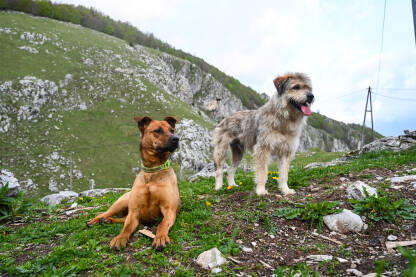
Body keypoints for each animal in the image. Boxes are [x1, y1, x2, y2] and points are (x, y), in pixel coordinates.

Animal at [87, 115, 180, 249]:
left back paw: (109, 220)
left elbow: (162, 224)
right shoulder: (134, 211)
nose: (176, 138)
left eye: (172, 130)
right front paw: (120, 238)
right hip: (120, 203)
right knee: (108, 213)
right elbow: (126, 228)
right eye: (158, 130)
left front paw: (160, 237)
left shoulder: (169, 210)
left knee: (122, 218)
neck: (152, 173)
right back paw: (96, 220)